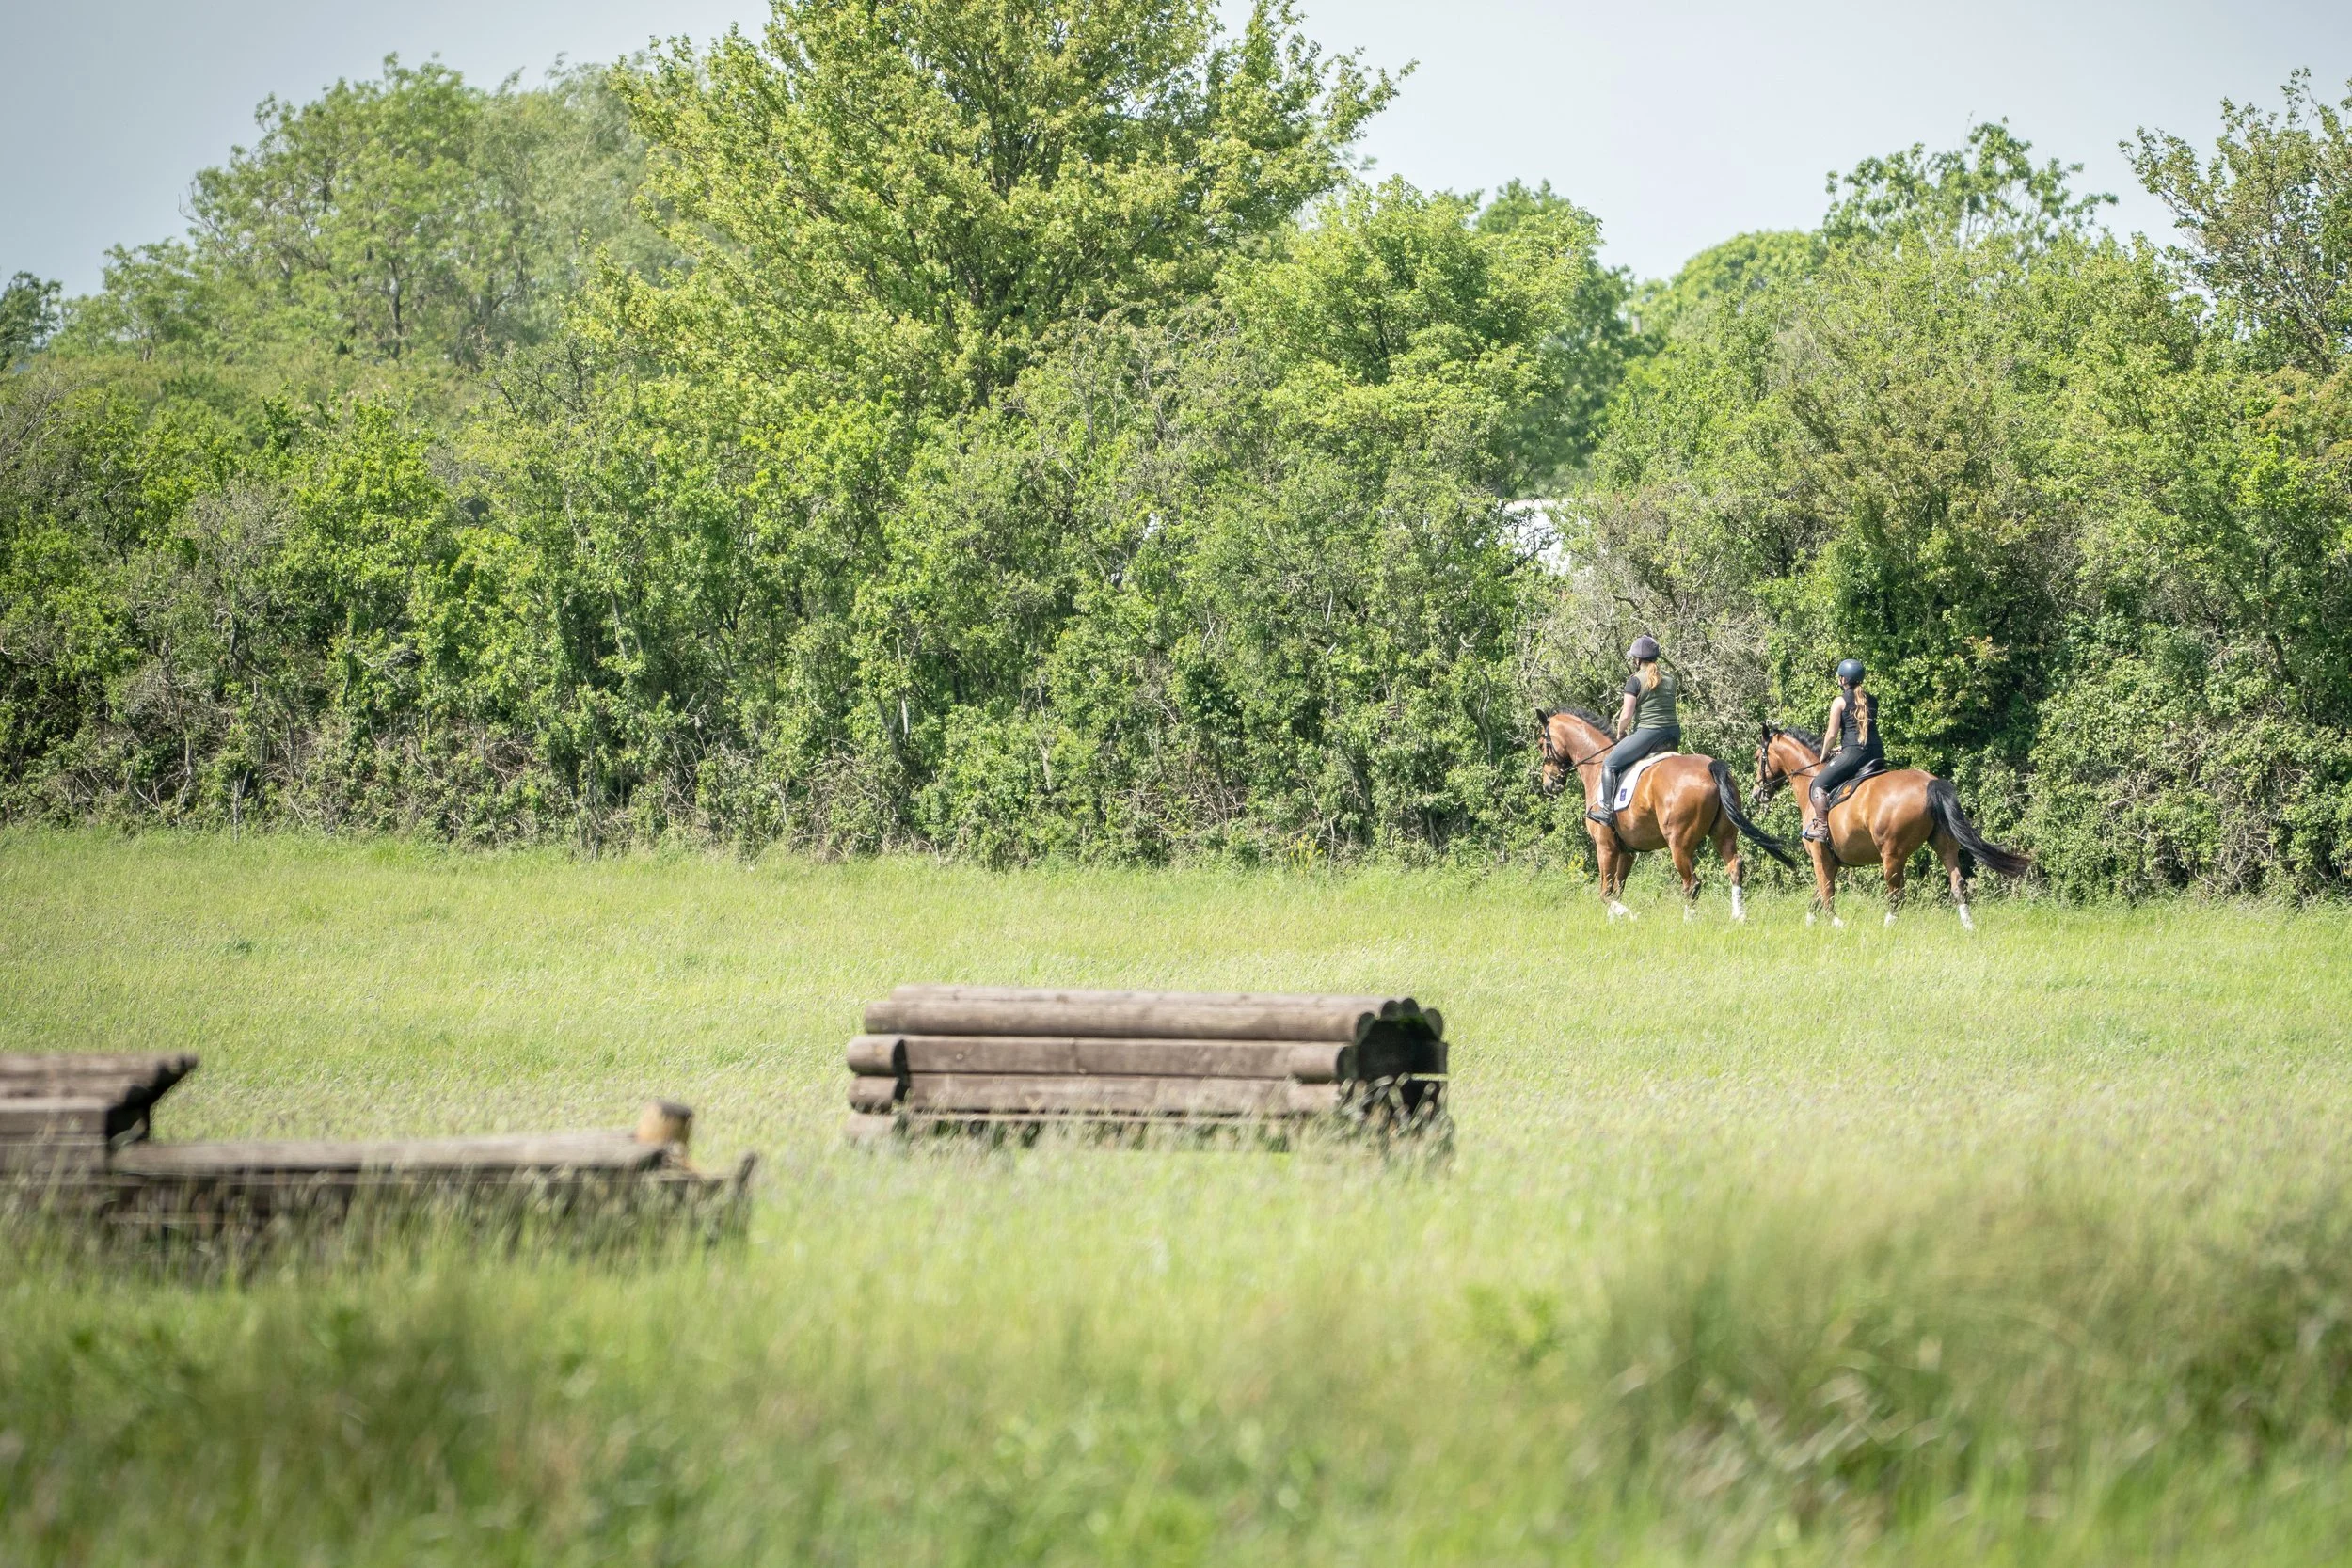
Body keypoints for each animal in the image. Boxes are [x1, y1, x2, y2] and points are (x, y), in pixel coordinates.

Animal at [1536, 707, 1797, 922]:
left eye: (1541, 744)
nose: (1549, 784)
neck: (1598, 766)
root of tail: (1710, 767)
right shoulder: (1627, 851)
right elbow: (1617, 891)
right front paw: (1614, 922)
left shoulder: (1605, 846)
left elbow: (1606, 893)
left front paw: (1631, 916)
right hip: (1723, 834)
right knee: (1734, 866)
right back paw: (1738, 916)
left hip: (1679, 844)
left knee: (1692, 884)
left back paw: (1689, 922)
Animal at [1752, 725, 2031, 929]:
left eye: (1758, 758)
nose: (1757, 793)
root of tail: (1929, 782)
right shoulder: (1830, 861)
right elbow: (1817, 895)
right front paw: (1810, 924)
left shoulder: (1821, 857)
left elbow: (1826, 892)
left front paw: (1836, 924)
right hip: (1943, 844)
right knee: (1957, 883)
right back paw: (1968, 926)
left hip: (1892, 854)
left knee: (1896, 893)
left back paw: (1888, 926)